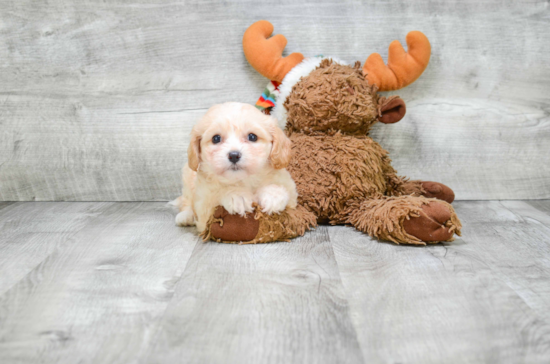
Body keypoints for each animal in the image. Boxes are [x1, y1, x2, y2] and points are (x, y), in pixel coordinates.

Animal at [175, 102, 300, 233]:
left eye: (252, 137)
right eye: (216, 138)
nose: (234, 155)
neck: (244, 180)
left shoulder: (291, 195)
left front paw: (273, 195)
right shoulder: (203, 207)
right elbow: (216, 195)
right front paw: (236, 195)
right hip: (188, 178)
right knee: (186, 202)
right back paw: (185, 216)